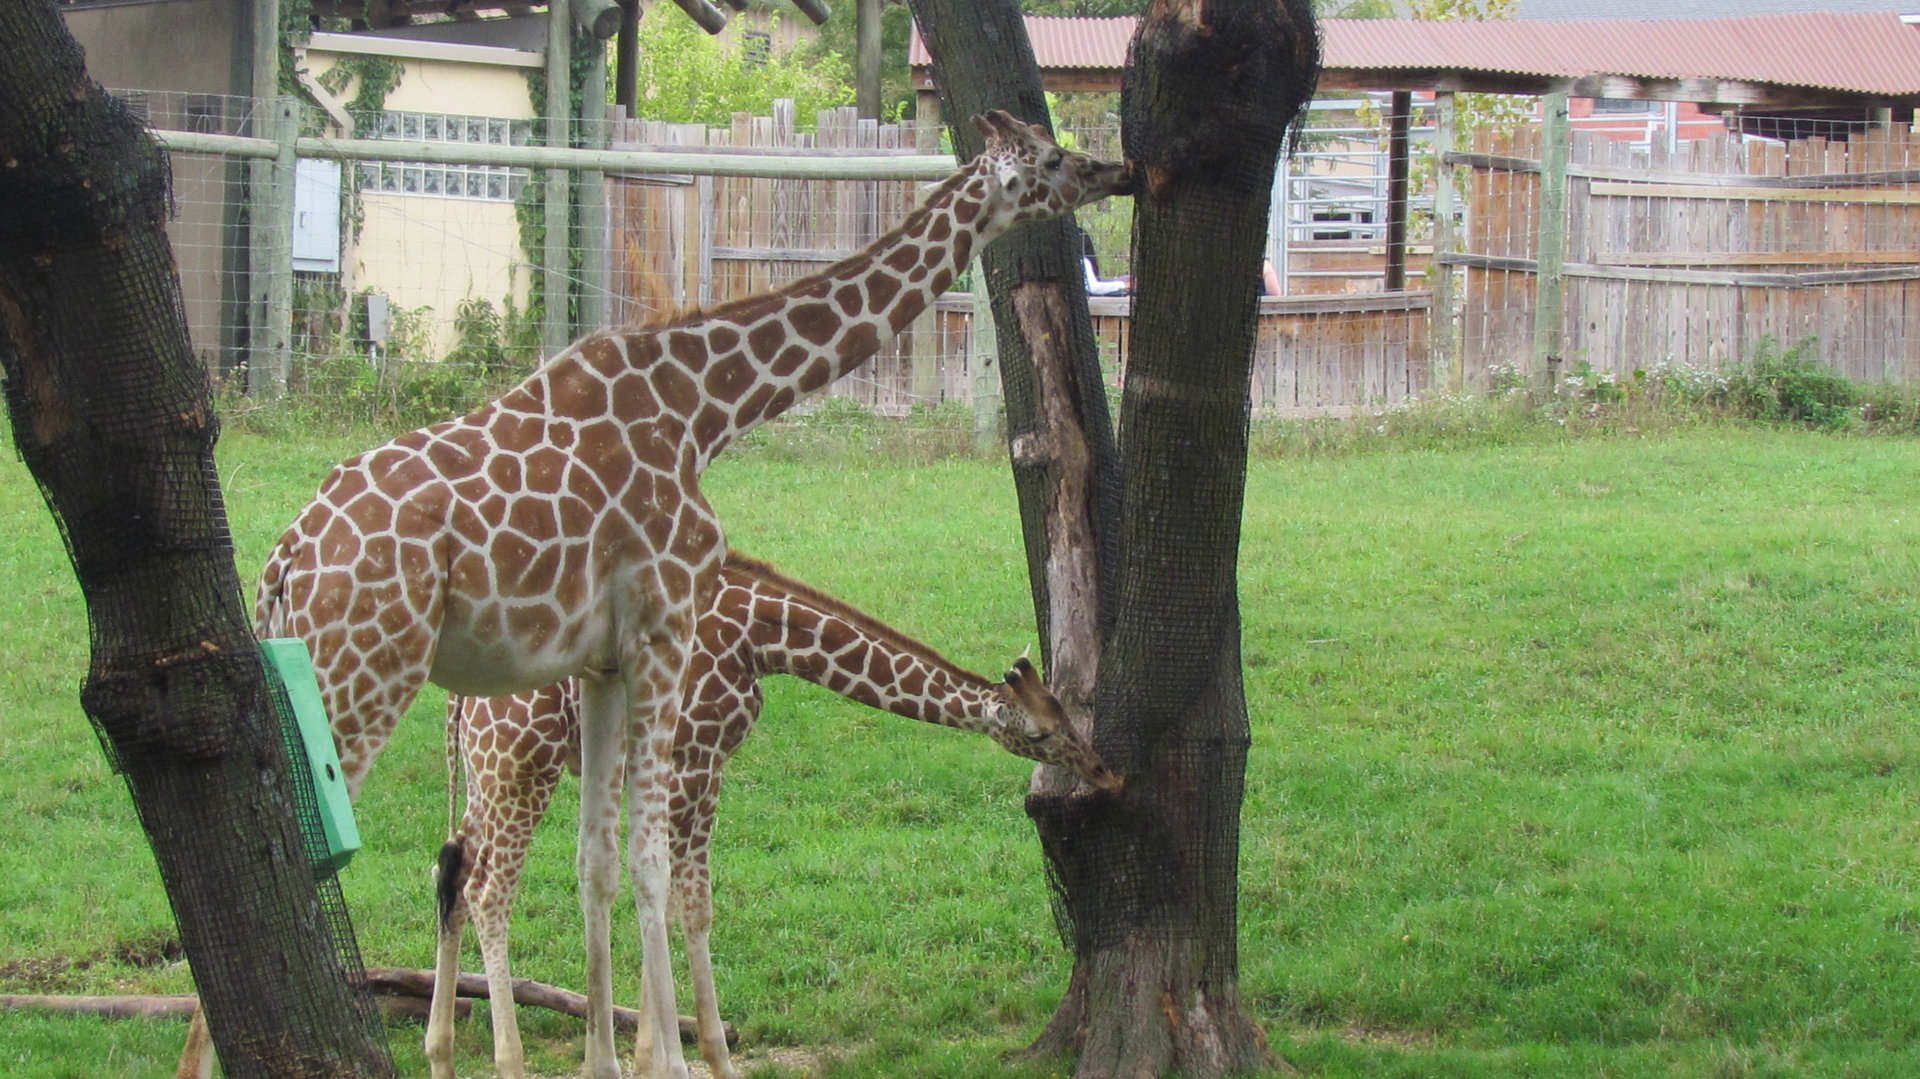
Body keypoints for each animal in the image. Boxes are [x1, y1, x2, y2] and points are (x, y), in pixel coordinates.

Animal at [424, 551, 1122, 1079]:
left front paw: (651, 1058)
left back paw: (441, 1055)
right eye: (1039, 733)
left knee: (452, 867)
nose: (1104, 771)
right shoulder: (697, 759)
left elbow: (669, 903)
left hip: (489, 773)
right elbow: (692, 906)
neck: (760, 637)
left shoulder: (694, 766)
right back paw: (508, 1063)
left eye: (1065, 711)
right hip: (522, 766)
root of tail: (459, 697)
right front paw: (709, 1059)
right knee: (490, 892)